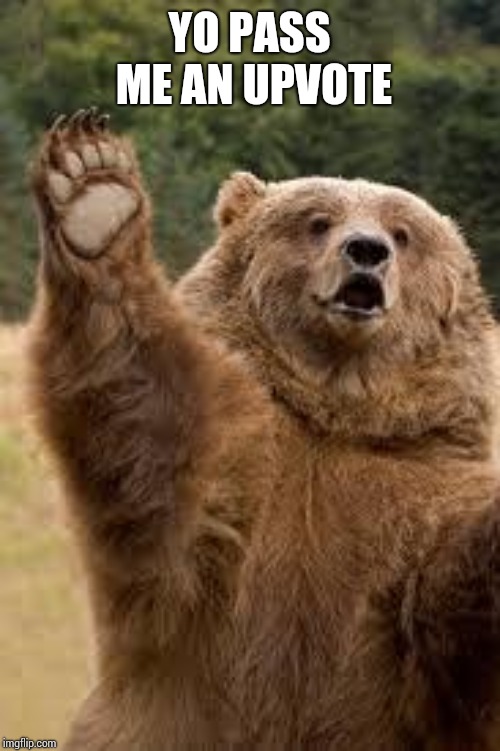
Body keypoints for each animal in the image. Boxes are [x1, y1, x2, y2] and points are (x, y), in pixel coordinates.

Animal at [28, 108, 500, 750]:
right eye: (318, 221)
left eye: (403, 233)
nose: (366, 251)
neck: (333, 415)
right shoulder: (235, 486)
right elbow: (152, 434)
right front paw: (93, 188)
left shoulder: (415, 495)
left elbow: (447, 599)